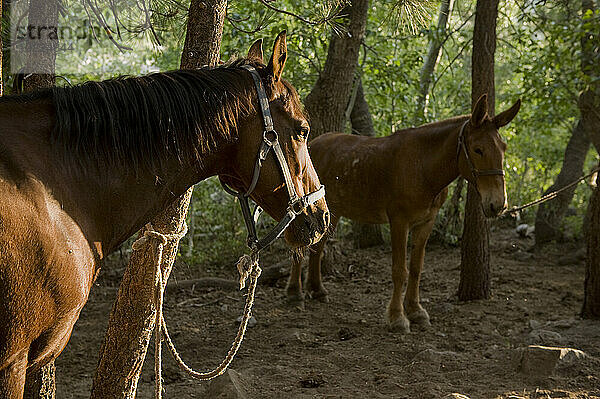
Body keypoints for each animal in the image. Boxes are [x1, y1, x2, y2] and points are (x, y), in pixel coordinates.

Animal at [288, 96, 520, 334]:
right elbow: (400, 271)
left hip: (332, 212)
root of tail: (312, 144)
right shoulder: (399, 222)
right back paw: (295, 294)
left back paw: (317, 290)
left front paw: (416, 311)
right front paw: (397, 317)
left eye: (503, 148)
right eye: (478, 149)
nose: (498, 204)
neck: (423, 167)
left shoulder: (426, 222)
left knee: (318, 249)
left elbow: (416, 269)